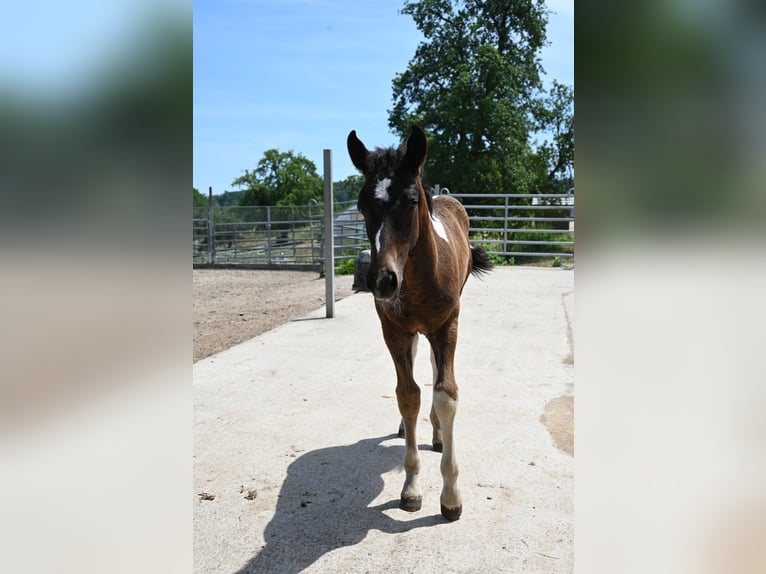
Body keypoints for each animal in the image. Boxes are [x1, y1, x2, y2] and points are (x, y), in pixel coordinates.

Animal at [347, 125, 492, 521]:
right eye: (362, 205)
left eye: (412, 201)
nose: (382, 281)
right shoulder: (394, 329)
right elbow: (407, 394)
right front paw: (411, 488)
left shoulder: (447, 326)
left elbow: (446, 394)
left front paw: (451, 497)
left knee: (434, 368)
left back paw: (439, 433)